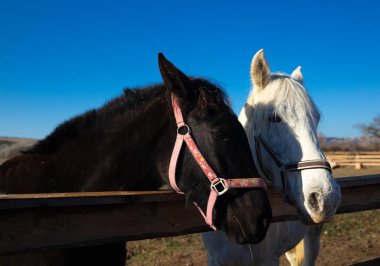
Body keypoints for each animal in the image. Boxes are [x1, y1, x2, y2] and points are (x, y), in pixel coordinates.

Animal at [203, 50, 340, 266]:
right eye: (275, 118)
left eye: (316, 118)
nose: (326, 197)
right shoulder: (216, 259)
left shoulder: (269, 259)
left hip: (312, 237)